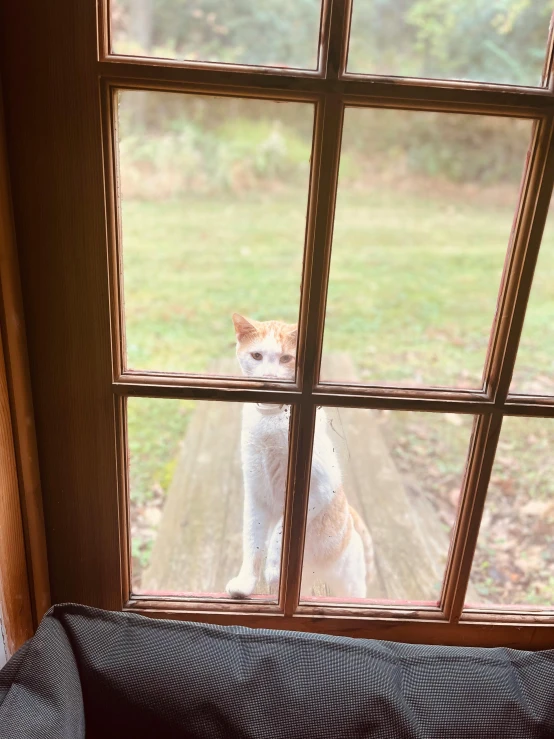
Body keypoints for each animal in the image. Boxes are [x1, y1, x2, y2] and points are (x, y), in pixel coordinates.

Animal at [225, 312, 376, 600]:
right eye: (257, 356)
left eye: (286, 359)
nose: (269, 376)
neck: (270, 420)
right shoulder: (256, 494)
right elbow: (253, 543)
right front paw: (246, 583)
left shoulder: (319, 488)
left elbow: (279, 533)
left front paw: (274, 568)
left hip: (349, 583)